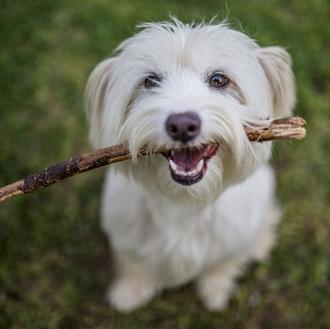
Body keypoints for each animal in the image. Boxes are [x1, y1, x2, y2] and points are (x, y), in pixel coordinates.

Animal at [84, 19, 296, 312]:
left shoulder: (234, 238)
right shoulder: (126, 234)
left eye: (219, 80)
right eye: (150, 81)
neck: (184, 202)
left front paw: (215, 292)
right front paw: (130, 293)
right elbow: (135, 263)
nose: (182, 125)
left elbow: (222, 264)